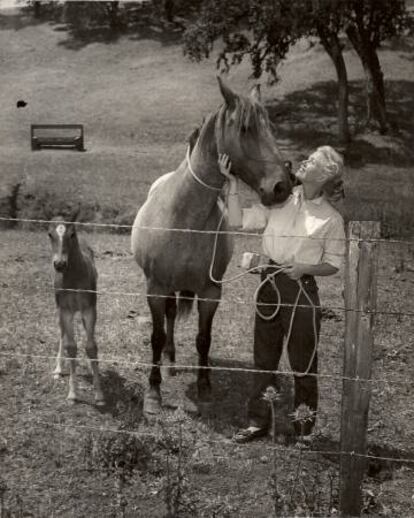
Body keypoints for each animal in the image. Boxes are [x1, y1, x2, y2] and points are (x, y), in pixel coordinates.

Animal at [48, 215, 104, 406]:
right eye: (49, 234)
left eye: (72, 234)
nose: (59, 264)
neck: (73, 277)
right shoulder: (65, 310)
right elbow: (71, 347)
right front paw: (72, 394)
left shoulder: (89, 309)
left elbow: (91, 347)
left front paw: (99, 394)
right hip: (62, 311)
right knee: (62, 333)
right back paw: (58, 369)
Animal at [131, 77, 292, 416]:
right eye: (245, 128)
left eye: (270, 127)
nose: (282, 185)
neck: (184, 216)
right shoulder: (155, 288)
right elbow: (156, 336)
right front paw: (153, 392)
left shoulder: (210, 292)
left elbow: (204, 338)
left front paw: (205, 386)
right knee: (168, 318)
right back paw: (169, 361)